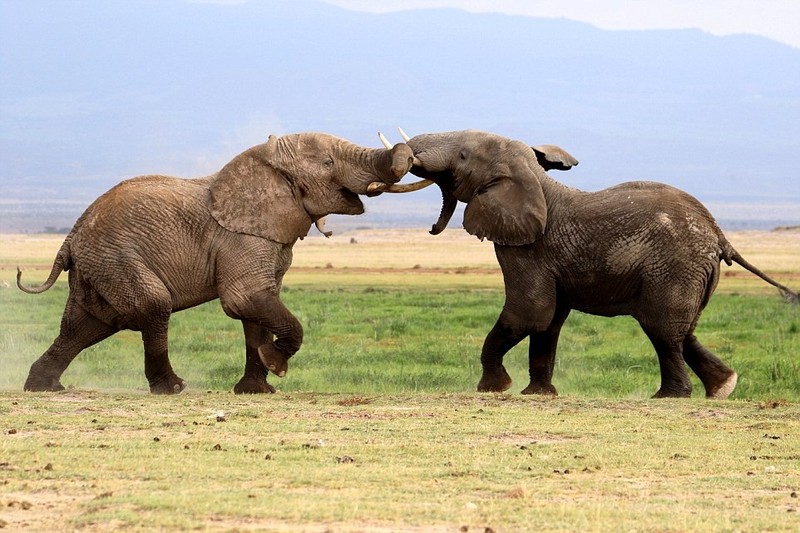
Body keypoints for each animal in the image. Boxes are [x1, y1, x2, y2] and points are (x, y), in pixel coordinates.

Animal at [20, 131, 412, 392]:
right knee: (151, 307)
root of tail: (71, 235)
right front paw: (276, 364)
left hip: (99, 266)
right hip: (115, 257)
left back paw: (43, 387)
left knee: (85, 325)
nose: (407, 155)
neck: (264, 164)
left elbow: (258, 308)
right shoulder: (240, 239)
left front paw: (257, 390)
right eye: (329, 163)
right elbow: (245, 299)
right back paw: (173, 389)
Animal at [378, 128, 796, 394]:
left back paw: (671, 396)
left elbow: (529, 313)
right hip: (690, 271)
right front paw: (538, 394)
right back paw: (723, 387)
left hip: (674, 266)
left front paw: (492, 389)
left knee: (662, 329)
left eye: (463, 155)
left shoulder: (527, 248)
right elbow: (549, 322)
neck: (535, 178)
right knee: (680, 329)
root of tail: (720, 235)